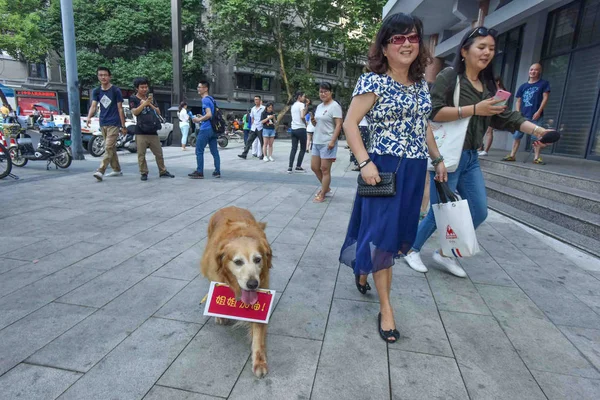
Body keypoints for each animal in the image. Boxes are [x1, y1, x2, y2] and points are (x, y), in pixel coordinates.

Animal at [200, 206, 274, 378]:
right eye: (238, 262)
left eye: (258, 259)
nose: (252, 284)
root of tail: (231, 206)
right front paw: (220, 314)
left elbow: (258, 334)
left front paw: (259, 361)